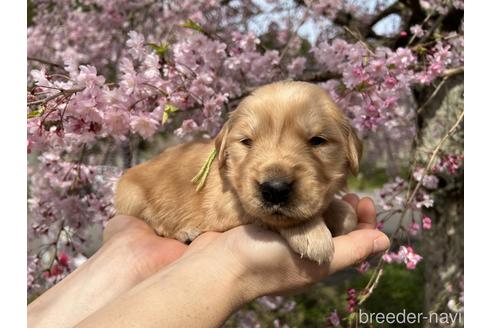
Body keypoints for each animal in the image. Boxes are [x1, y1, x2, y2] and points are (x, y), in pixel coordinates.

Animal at [115, 82, 362, 264]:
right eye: (246, 142)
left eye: (317, 141)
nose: (275, 189)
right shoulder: (227, 207)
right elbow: (266, 216)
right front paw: (311, 233)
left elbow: (347, 212)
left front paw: (341, 214)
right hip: (131, 197)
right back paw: (186, 232)